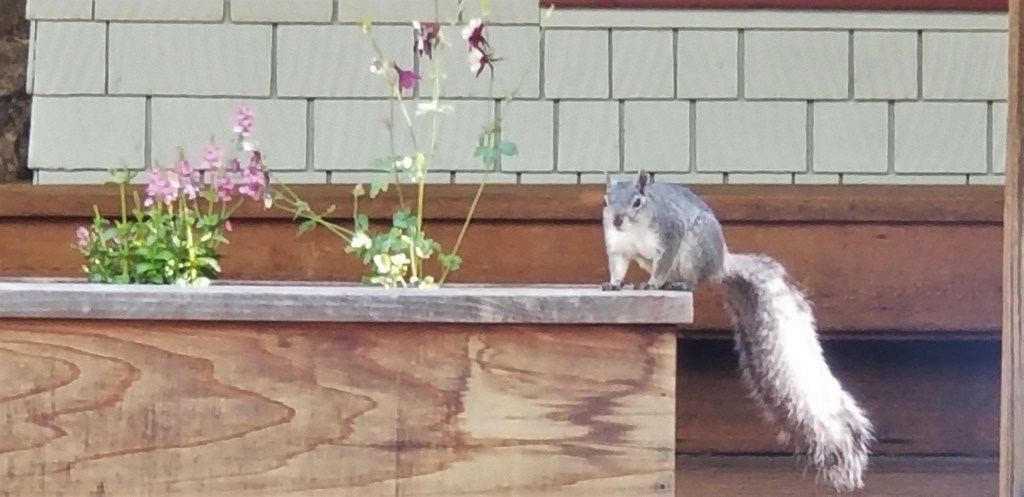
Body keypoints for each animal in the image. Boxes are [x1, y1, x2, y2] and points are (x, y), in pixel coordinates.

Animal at [601, 169, 875, 493]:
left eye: (637, 201)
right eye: (605, 200)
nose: (617, 219)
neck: (634, 228)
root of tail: (722, 262)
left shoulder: (668, 233)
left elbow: (662, 263)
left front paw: (653, 283)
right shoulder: (618, 247)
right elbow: (618, 267)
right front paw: (614, 284)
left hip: (695, 250)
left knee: (691, 278)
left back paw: (675, 283)